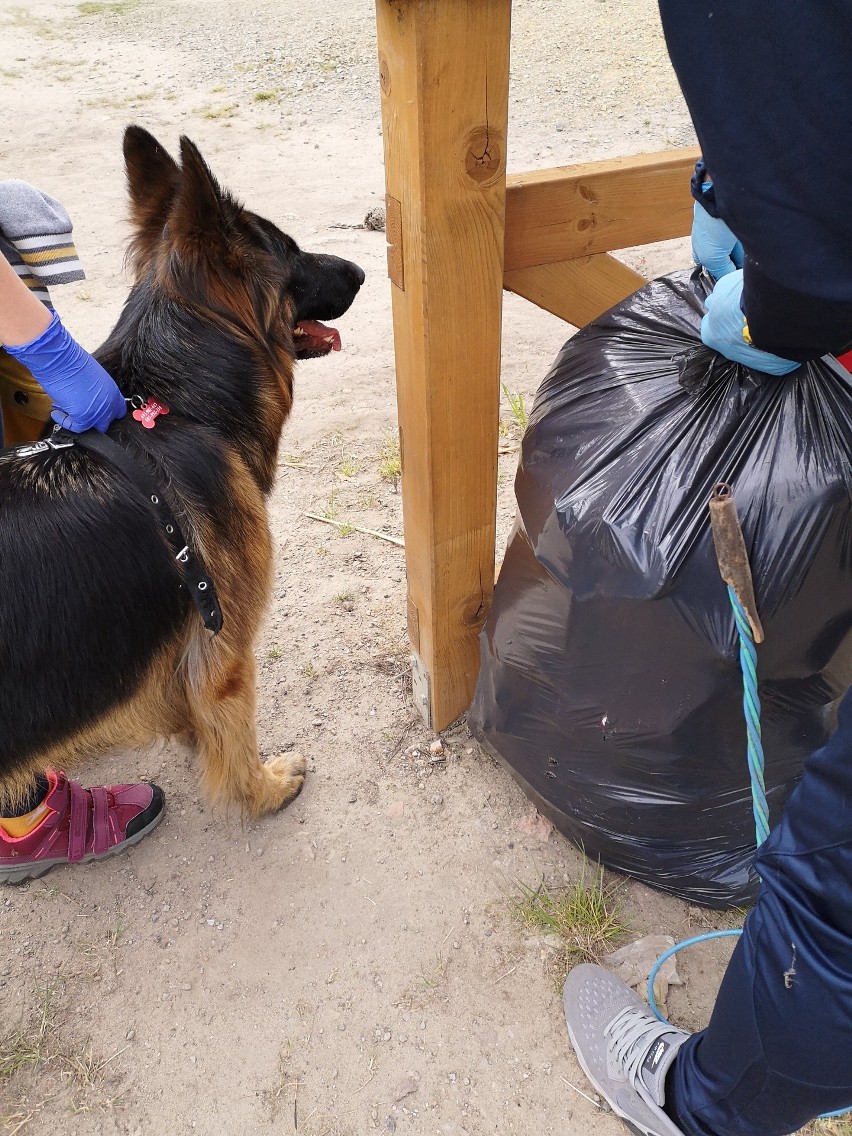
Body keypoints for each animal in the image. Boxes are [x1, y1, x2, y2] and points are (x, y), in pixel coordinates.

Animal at [0, 124, 363, 817]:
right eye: (292, 253)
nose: (361, 268)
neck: (178, 405)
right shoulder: (225, 648)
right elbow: (232, 727)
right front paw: (264, 789)